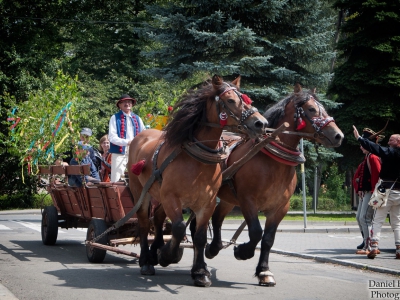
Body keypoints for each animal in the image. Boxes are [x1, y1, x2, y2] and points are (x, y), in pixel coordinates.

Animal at [128, 74, 268, 286]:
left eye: (247, 99)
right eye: (230, 101)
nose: (261, 123)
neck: (197, 160)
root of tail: (142, 135)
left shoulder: (207, 202)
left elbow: (200, 236)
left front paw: (200, 271)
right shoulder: (171, 197)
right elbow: (178, 228)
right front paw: (167, 255)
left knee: (158, 218)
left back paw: (155, 249)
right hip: (140, 192)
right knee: (144, 223)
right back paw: (146, 261)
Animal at [198, 84, 346, 286]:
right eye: (311, 109)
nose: (339, 136)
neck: (274, 162)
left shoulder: (280, 207)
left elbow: (268, 239)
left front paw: (264, 271)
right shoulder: (247, 201)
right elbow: (255, 232)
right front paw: (242, 251)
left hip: (228, 199)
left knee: (217, 218)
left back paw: (213, 248)